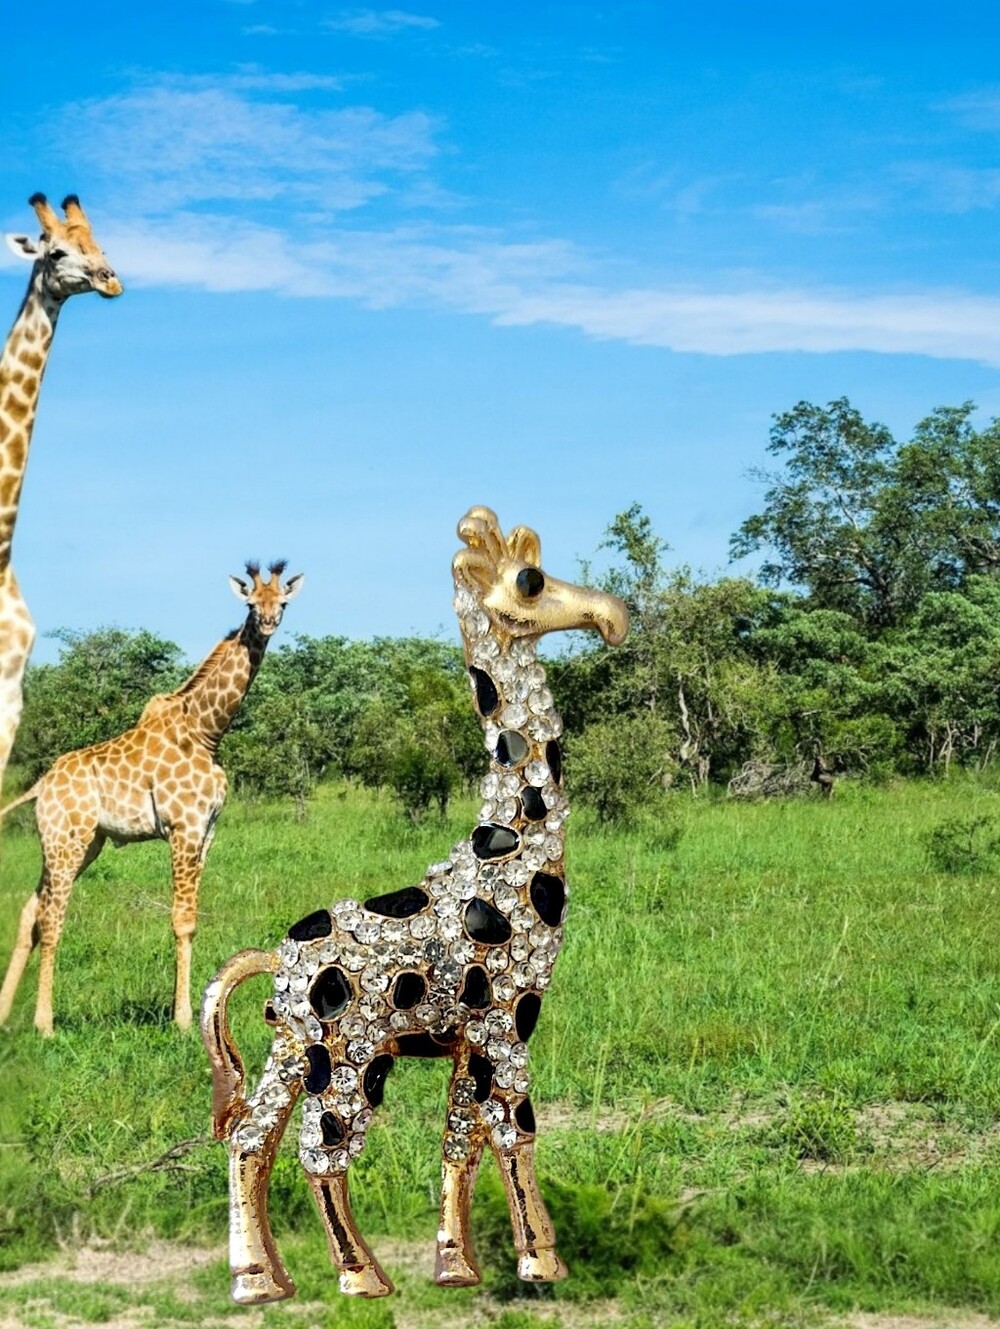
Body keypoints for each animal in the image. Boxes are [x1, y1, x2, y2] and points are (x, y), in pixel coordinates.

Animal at [0, 562, 303, 1037]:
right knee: (51, 918)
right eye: (252, 605)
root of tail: (40, 787)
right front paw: (183, 1020)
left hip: (79, 843)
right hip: (66, 841)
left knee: (31, 910)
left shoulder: (207, 832)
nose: (270, 623)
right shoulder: (183, 827)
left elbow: (192, 919)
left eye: (283, 602)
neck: (206, 732)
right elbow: (182, 921)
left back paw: (4, 1014)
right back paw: (44, 1024)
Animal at [201, 508, 628, 1303]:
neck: (506, 850)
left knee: (250, 1138)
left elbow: (460, 1140)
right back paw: (361, 1278)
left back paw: (260, 1281)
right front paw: (542, 1264)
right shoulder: (507, 1020)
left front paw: (457, 1266)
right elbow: (517, 1129)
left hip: (292, 1049)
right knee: (320, 1150)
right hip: (349, 1053)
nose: (612, 617)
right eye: (531, 580)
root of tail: (277, 960)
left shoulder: (469, 1039)